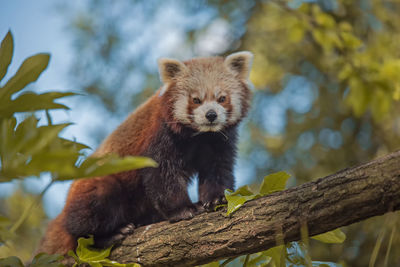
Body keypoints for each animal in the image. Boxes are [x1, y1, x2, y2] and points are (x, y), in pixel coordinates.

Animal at [36, 51, 253, 255]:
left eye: (222, 98)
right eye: (196, 100)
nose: (211, 115)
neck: (199, 135)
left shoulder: (219, 140)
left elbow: (218, 168)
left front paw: (217, 198)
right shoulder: (160, 135)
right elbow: (162, 175)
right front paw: (183, 209)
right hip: (95, 187)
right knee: (88, 217)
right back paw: (111, 234)